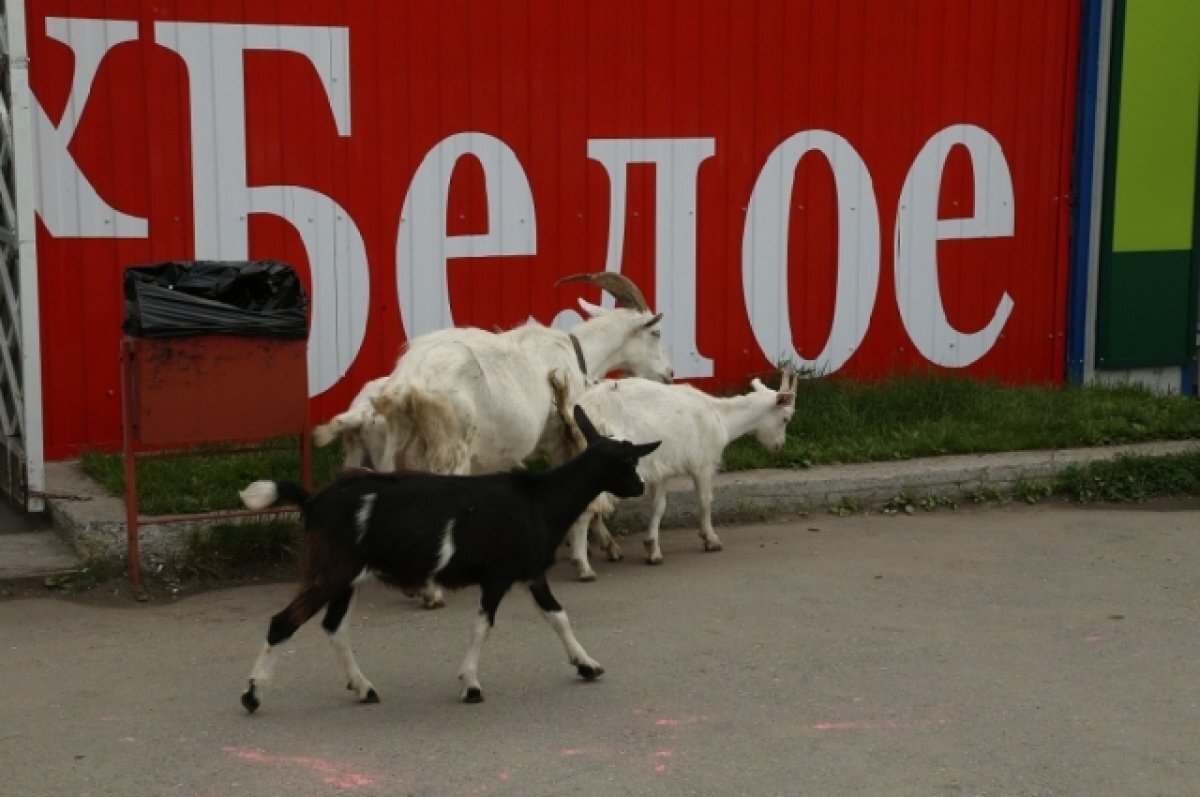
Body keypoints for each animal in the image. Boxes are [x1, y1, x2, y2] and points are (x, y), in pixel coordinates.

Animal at [237, 405, 662, 710]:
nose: (640, 486)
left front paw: (587, 665)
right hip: (330, 568)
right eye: (628, 463)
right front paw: (471, 685)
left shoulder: (529, 572)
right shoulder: (498, 574)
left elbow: (558, 616)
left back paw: (363, 688)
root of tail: (312, 502)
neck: (540, 501)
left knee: (334, 628)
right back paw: (253, 695)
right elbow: (482, 626)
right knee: (283, 623)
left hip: (347, 575)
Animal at [561, 369, 796, 576]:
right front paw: (711, 539)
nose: (779, 445)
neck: (721, 417)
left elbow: (659, 506)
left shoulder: (660, 469)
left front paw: (652, 549)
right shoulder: (703, 463)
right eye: (785, 418)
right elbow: (705, 500)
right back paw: (583, 566)